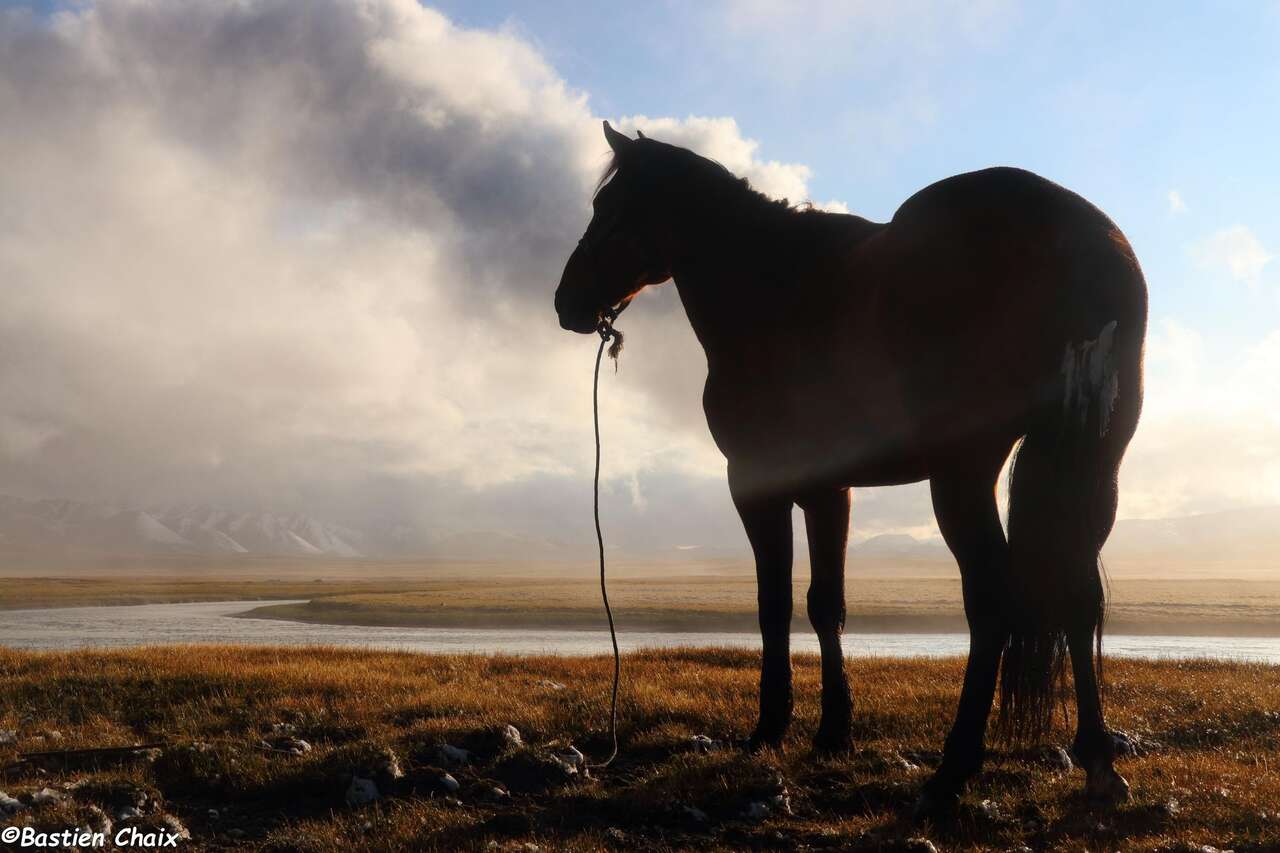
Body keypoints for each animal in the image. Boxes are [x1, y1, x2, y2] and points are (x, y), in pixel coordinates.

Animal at [555, 121, 1146, 809]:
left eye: (608, 208)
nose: (566, 301)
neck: (774, 289)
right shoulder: (829, 488)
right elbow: (825, 604)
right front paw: (834, 730)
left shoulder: (755, 482)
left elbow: (775, 603)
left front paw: (772, 726)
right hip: (1093, 467)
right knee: (1078, 596)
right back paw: (1098, 761)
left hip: (964, 473)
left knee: (993, 601)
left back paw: (954, 768)